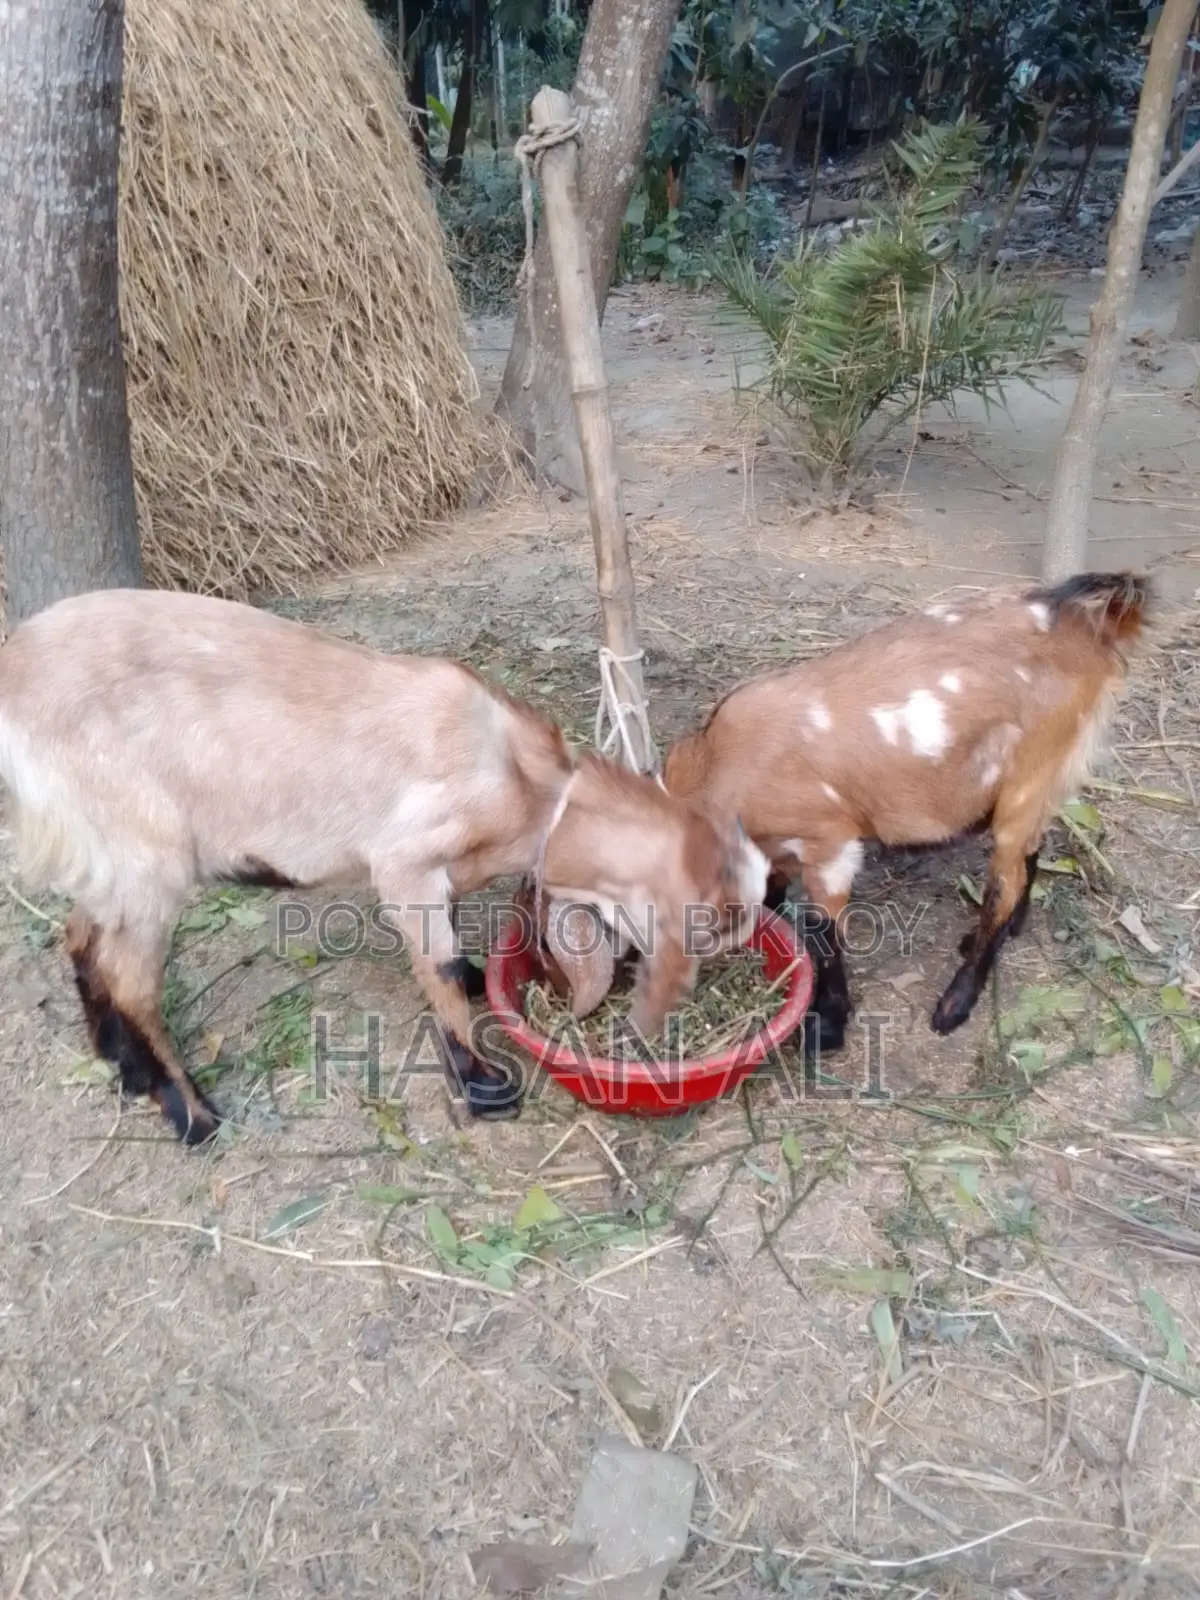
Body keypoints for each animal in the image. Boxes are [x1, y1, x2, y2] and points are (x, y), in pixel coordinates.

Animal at [0, 588, 769, 1146]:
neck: (525, 782)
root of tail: (16, 672)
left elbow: (451, 950)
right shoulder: (404, 863)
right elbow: (438, 967)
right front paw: (481, 1082)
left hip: (105, 852)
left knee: (82, 939)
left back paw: (120, 1062)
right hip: (146, 851)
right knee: (133, 981)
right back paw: (190, 1113)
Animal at [661, 572, 1149, 1054]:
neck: (716, 762)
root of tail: (1092, 625)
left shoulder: (830, 844)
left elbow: (822, 929)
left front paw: (828, 1025)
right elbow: (772, 892)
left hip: (1032, 770)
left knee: (1004, 885)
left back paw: (956, 1001)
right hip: (1033, 784)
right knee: (1031, 848)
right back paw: (1009, 930)